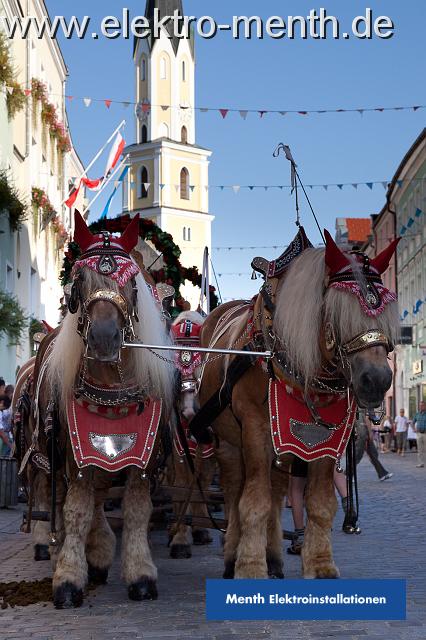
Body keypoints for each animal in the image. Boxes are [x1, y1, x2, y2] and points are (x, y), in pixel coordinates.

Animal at [20, 212, 175, 608]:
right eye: (79, 280)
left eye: (131, 281)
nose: (104, 339)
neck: (111, 391)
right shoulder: (75, 454)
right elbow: (76, 510)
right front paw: (69, 578)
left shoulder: (143, 455)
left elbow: (136, 510)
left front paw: (140, 575)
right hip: (45, 453)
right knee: (52, 495)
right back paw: (53, 545)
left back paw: (101, 552)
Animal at [196, 226, 400, 580]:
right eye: (338, 310)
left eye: (383, 311)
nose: (376, 379)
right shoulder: (255, 429)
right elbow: (254, 501)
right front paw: (250, 566)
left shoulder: (325, 440)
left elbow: (318, 502)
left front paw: (319, 563)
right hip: (228, 441)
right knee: (235, 491)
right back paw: (233, 554)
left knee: (278, 493)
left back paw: (275, 556)